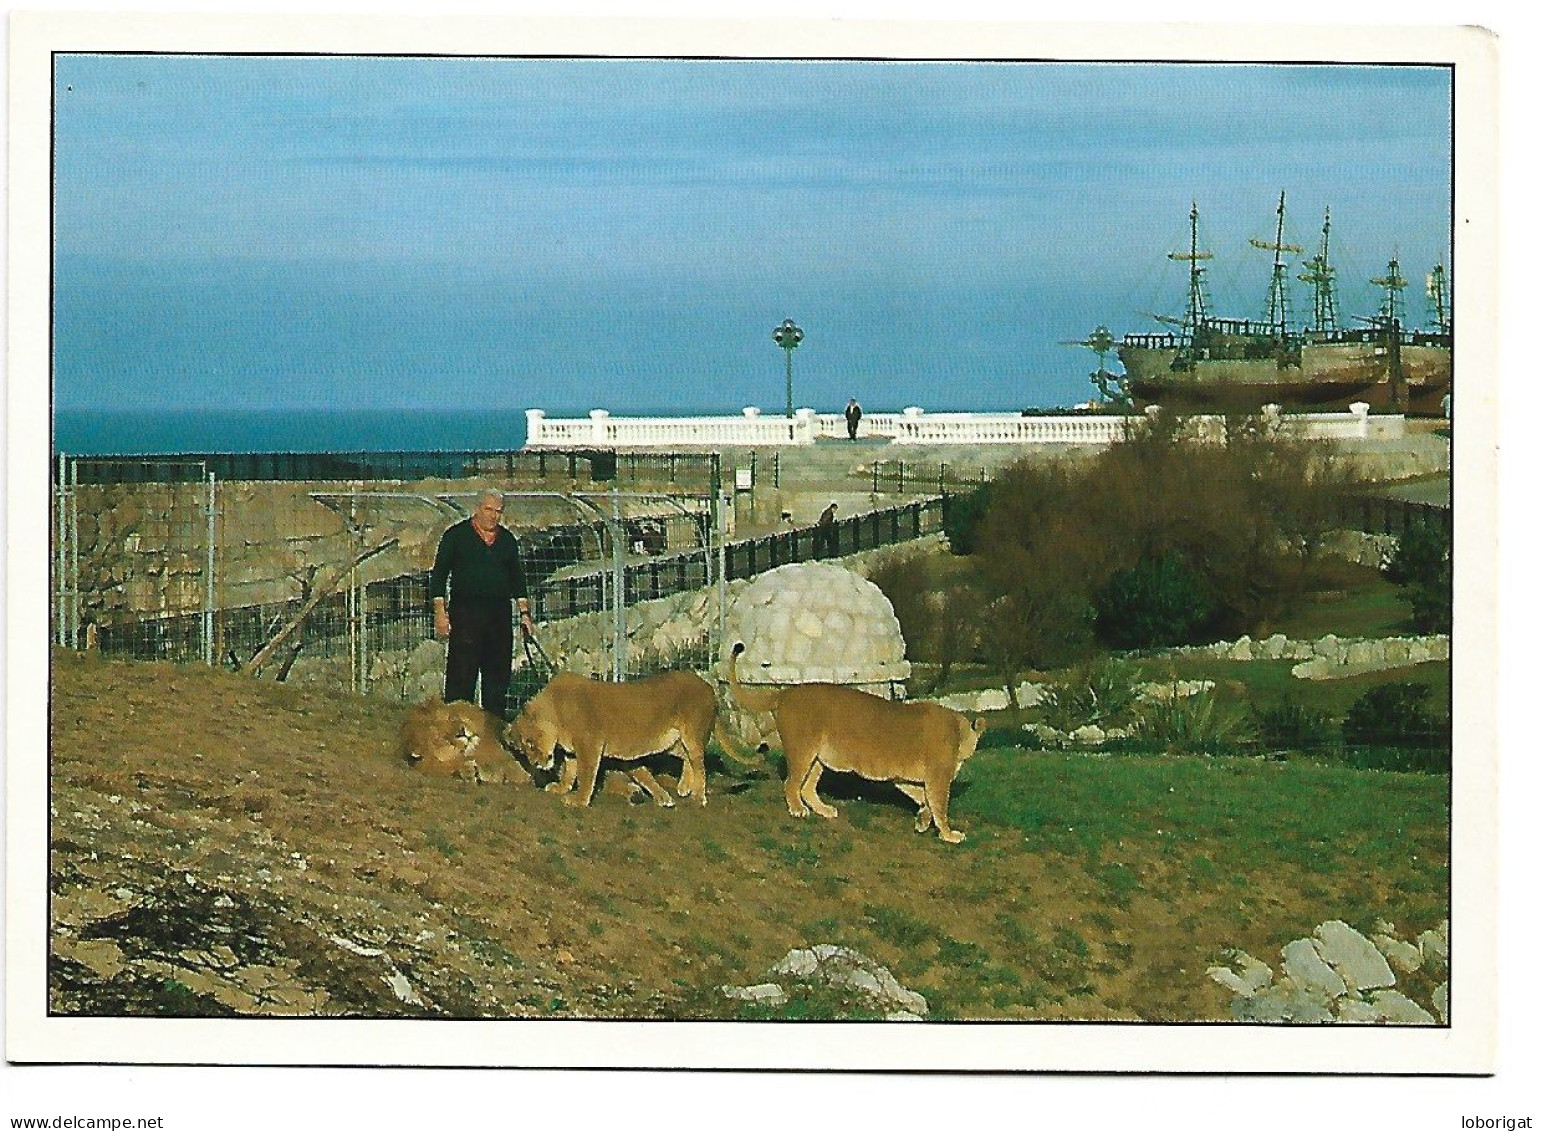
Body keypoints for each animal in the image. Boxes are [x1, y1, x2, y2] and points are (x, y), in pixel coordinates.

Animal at [724, 644, 986, 839]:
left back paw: (825, 810)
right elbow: (939, 805)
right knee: (791, 783)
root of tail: (786, 692)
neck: (959, 728)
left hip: (818, 758)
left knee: (807, 787)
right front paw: (949, 834)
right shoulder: (937, 777)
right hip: (803, 750)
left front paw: (922, 820)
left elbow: (923, 799)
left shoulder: (902, 777)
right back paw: (798, 811)